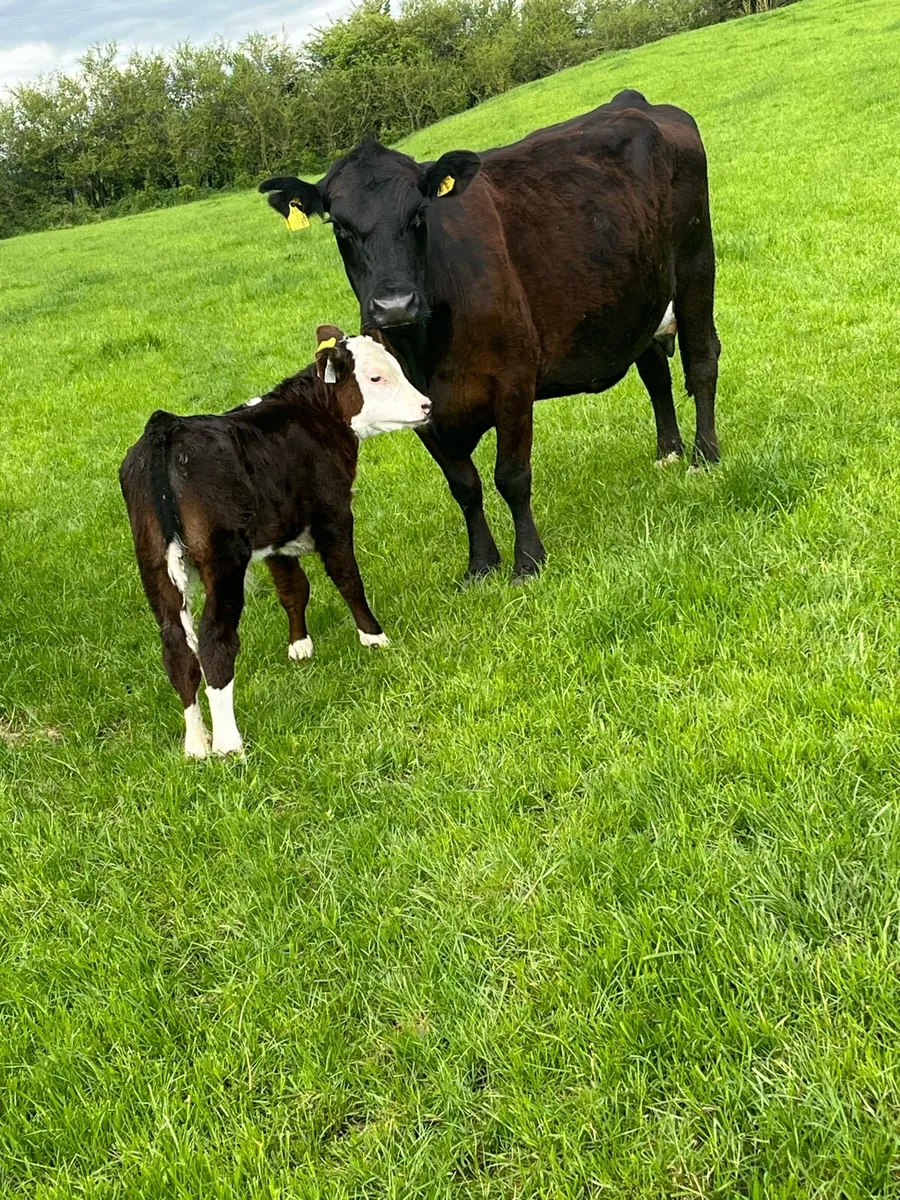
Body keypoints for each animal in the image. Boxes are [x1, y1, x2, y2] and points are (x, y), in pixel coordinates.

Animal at [119, 327, 432, 759]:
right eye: (375, 378)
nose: (426, 405)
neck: (313, 416)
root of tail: (166, 428)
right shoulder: (334, 514)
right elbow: (347, 578)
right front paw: (374, 637)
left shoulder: (277, 538)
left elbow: (293, 589)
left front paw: (300, 646)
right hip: (224, 559)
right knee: (215, 640)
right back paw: (228, 745)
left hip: (153, 563)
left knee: (177, 648)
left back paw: (197, 744)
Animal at [259, 90, 720, 581]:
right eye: (339, 225)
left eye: (419, 214)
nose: (394, 304)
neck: (426, 349)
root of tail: (638, 102)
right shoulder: (419, 407)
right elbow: (464, 486)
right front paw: (481, 564)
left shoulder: (514, 380)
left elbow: (511, 476)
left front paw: (528, 561)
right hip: (639, 297)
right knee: (655, 373)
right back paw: (668, 452)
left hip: (695, 265)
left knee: (702, 362)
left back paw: (704, 457)